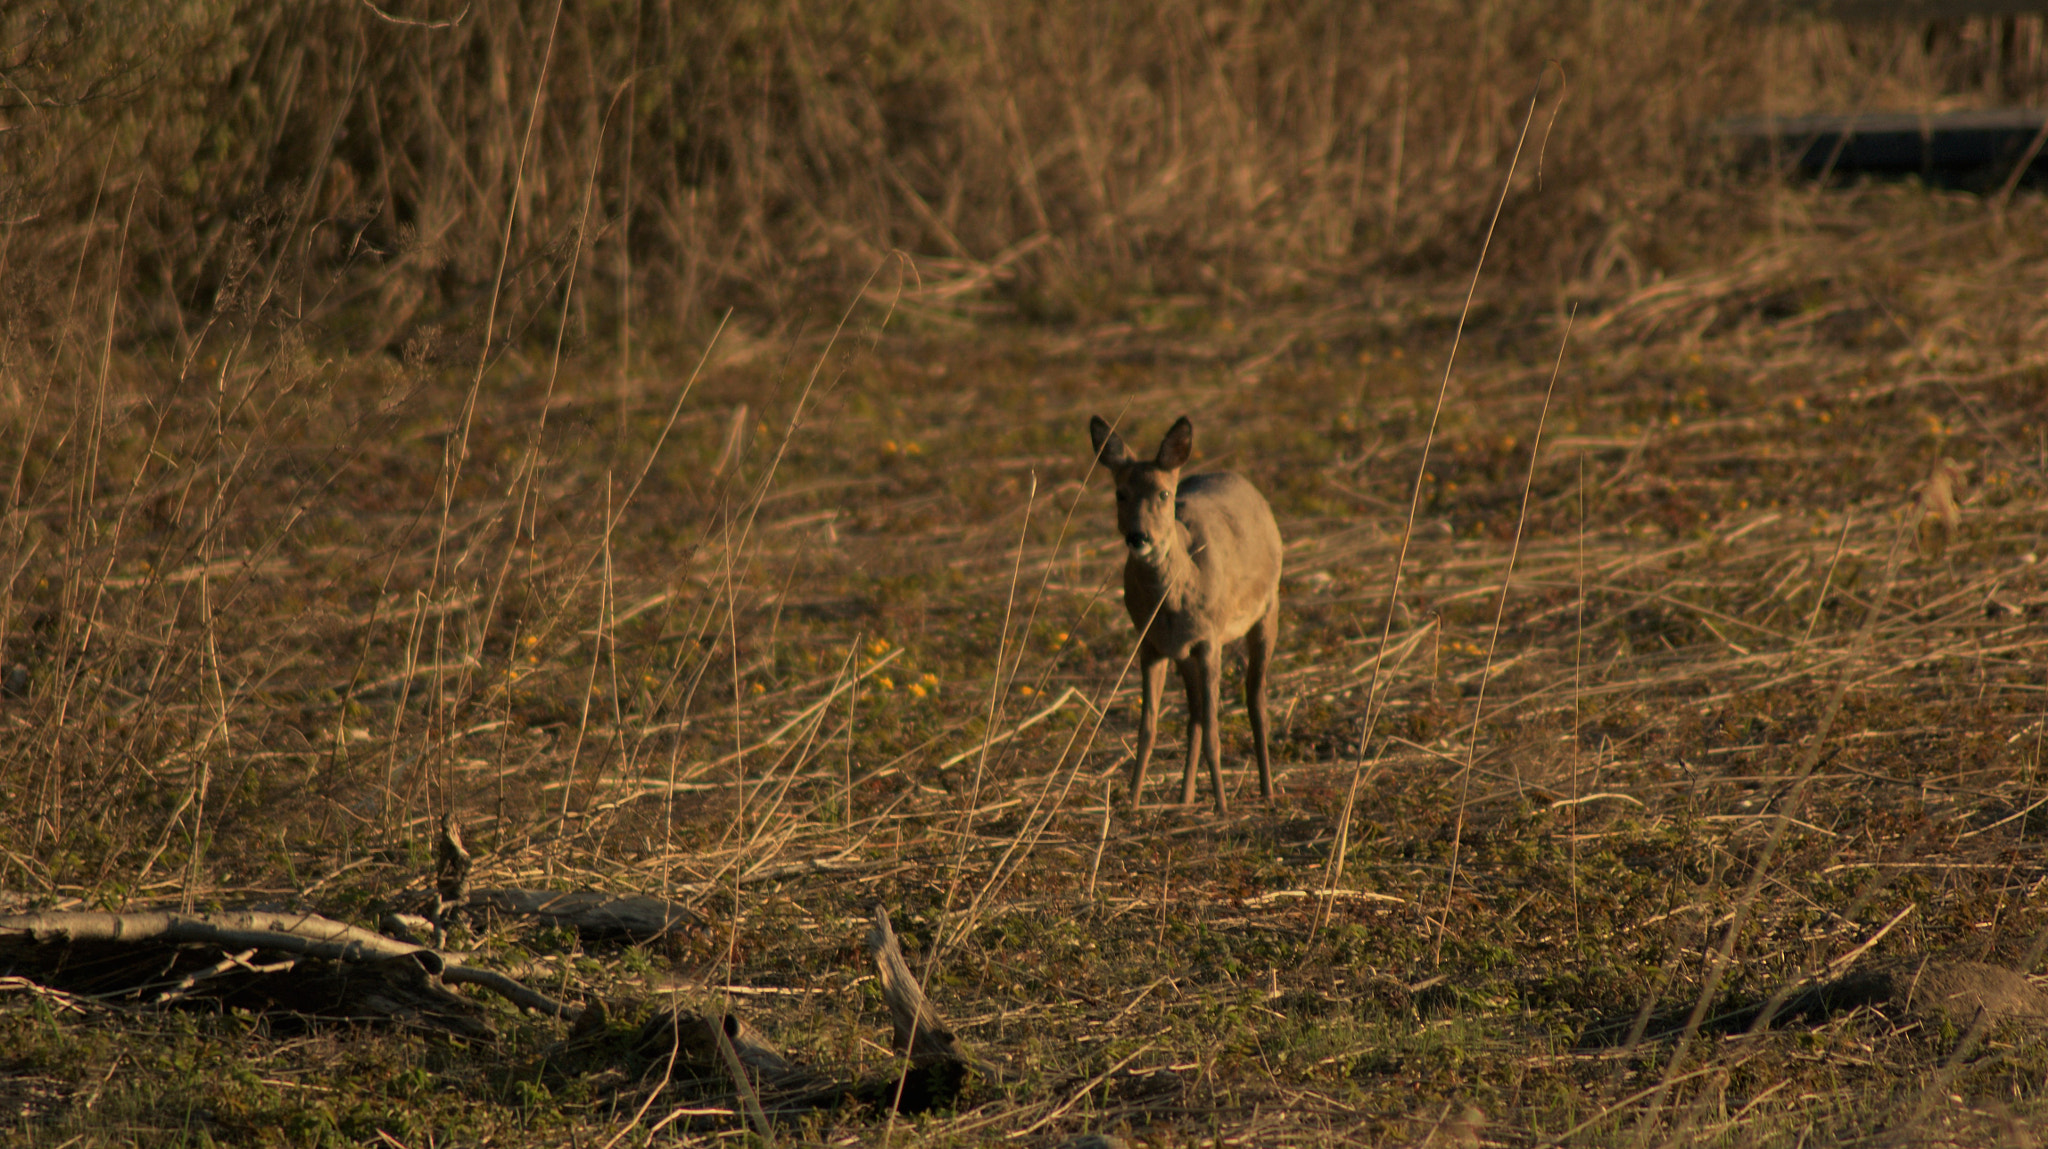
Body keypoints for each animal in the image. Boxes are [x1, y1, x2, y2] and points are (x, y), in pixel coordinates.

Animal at [1089, 415, 1277, 811]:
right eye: (1120, 493)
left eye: (1163, 494)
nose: (1138, 536)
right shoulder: (1151, 644)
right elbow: (1148, 728)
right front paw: (1131, 804)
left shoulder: (1209, 640)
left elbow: (1215, 730)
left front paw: (1222, 806)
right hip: (1184, 654)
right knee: (1194, 716)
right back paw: (1185, 798)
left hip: (1268, 608)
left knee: (1255, 697)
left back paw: (1268, 792)